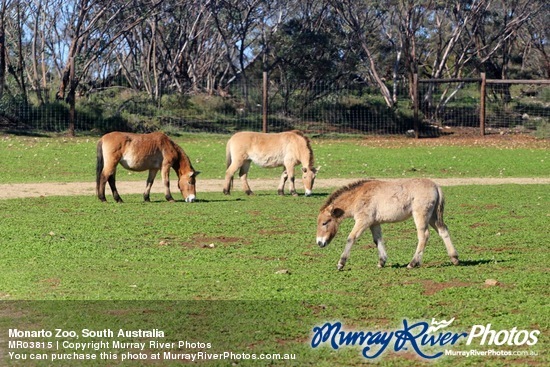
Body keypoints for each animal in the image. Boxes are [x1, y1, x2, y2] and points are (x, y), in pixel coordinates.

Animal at [316, 179, 460, 270]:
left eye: (324, 223)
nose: (319, 242)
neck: (358, 196)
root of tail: (436, 186)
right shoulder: (374, 223)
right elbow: (377, 240)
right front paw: (382, 261)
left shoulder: (363, 221)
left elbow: (351, 238)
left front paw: (341, 264)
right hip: (433, 217)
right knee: (443, 231)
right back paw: (454, 259)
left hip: (421, 215)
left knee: (423, 235)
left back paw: (412, 263)